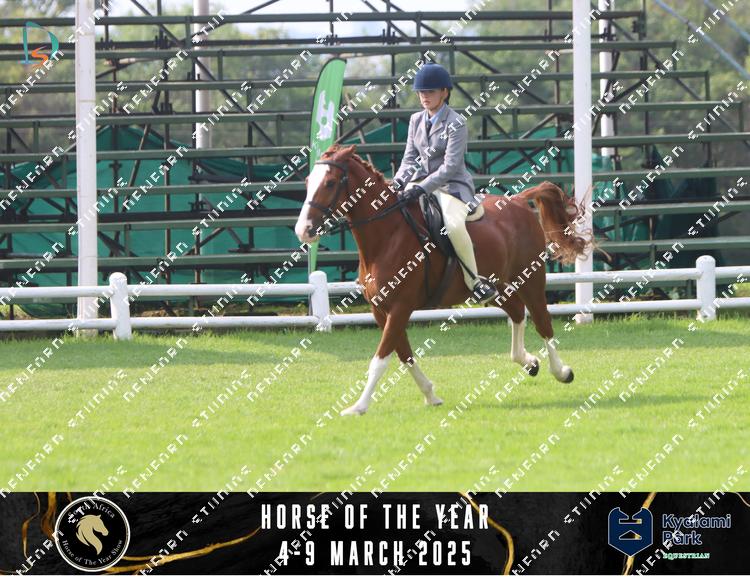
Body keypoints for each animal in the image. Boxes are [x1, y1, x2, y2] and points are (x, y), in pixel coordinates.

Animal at [295, 144, 591, 416]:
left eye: (330, 182)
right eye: (308, 182)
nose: (303, 230)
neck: (388, 236)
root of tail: (517, 200)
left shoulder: (400, 307)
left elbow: (380, 359)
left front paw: (359, 406)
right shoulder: (381, 309)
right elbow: (404, 354)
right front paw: (430, 395)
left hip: (530, 279)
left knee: (543, 323)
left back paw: (561, 371)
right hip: (496, 287)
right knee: (517, 312)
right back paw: (528, 362)